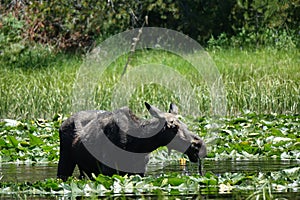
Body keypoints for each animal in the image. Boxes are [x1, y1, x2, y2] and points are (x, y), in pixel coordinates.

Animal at [56, 102, 206, 180]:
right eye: (173, 127)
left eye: (185, 123)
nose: (199, 145)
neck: (139, 146)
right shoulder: (108, 171)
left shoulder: (139, 171)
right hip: (65, 160)